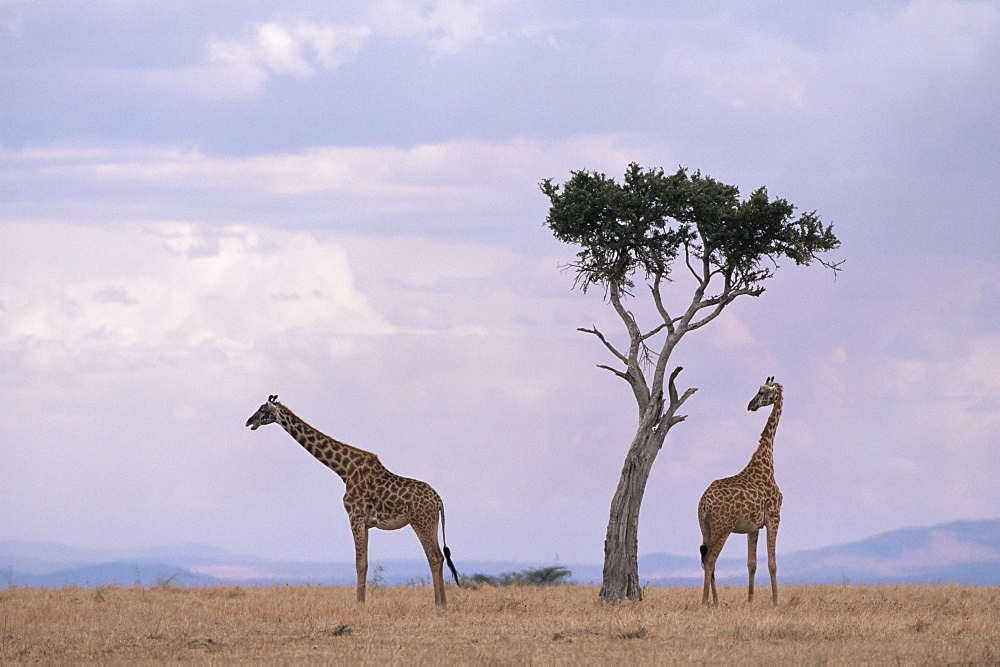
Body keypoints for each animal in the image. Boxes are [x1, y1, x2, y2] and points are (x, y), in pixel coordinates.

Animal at [246, 396, 460, 612]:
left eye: (262, 409)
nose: (248, 422)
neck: (344, 470)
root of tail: (438, 500)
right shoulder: (365, 522)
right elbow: (364, 562)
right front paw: (361, 602)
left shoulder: (354, 517)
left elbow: (359, 563)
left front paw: (359, 604)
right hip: (431, 523)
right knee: (440, 556)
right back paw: (443, 604)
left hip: (420, 522)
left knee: (433, 557)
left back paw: (439, 606)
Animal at [696, 378, 780, 608]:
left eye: (761, 392)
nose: (751, 405)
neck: (766, 461)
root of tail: (704, 503)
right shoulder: (774, 516)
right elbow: (772, 562)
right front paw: (776, 602)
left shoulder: (754, 526)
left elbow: (752, 563)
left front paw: (750, 601)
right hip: (723, 527)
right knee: (710, 559)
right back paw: (705, 601)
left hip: (705, 527)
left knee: (706, 558)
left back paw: (715, 601)